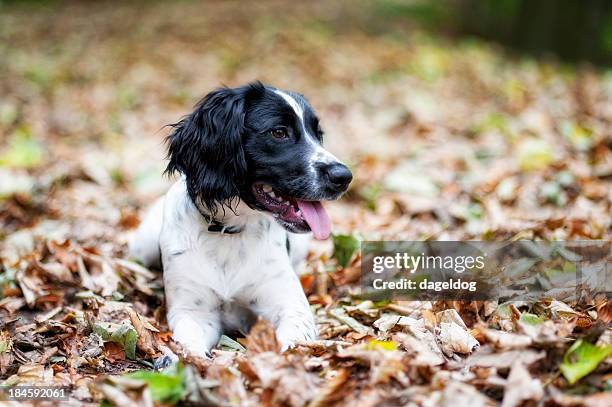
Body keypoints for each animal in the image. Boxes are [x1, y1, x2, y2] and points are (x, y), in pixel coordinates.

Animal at [131, 82, 352, 356]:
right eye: (279, 132)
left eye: (318, 134)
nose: (343, 176)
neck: (229, 231)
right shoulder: (193, 311)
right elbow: (189, 344)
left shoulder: (289, 306)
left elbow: (291, 342)